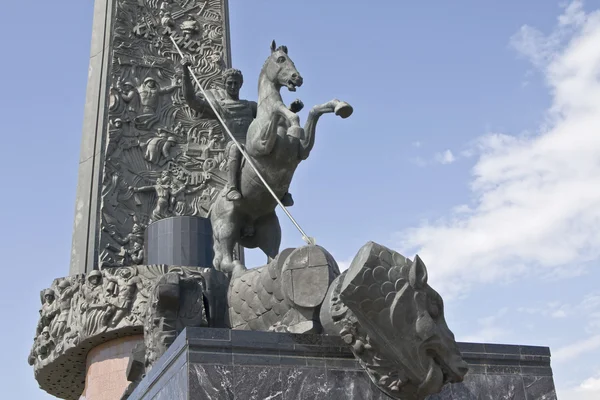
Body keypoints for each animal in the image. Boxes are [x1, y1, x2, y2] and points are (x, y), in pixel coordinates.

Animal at [210, 41, 352, 278]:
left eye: (289, 59)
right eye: (280, 59)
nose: (297, 78)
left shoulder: (303, 151)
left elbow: (313, 112)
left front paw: (340, 106)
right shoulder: (261, 146)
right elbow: (280, 111)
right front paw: (294, 124)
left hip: (270, 228)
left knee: (270, 256)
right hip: (227, 225)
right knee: (225, 261)